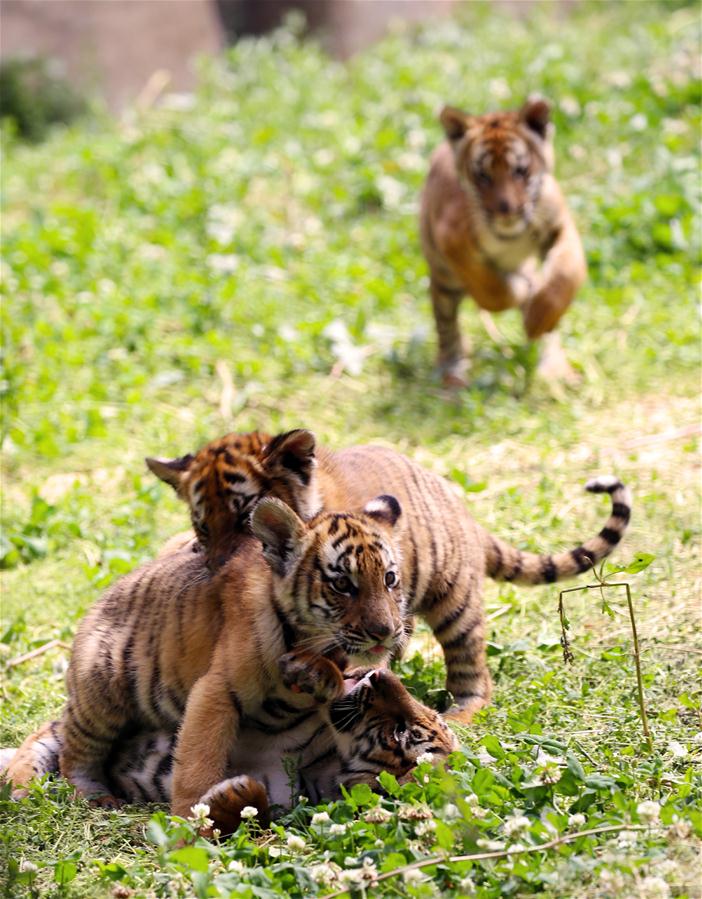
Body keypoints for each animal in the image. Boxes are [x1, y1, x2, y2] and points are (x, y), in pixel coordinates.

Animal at [2, 665, 456, 831]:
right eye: (420, 715)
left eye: (400, 731)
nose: (380, 674)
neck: (322, 762)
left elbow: (256, 805)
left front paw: (234, 795)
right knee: (34, 749)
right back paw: (22, 788)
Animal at [149, 429, 631, 727]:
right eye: (203, 528)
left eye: (245, 518)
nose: (218, 572)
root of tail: (464, 511)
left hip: (455, 602)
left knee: (472, 673)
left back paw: (458, 714)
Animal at [420, 96, 587, 387]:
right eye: (482, 176)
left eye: (520, 170)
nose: (506, 209)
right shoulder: (452, 239)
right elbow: (492, 292)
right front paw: (520, 291)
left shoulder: (559, 226)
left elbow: (566, 273)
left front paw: (538, 317)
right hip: (443, 279)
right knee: (446, 324)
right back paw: (452, 371)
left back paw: (554, 367)